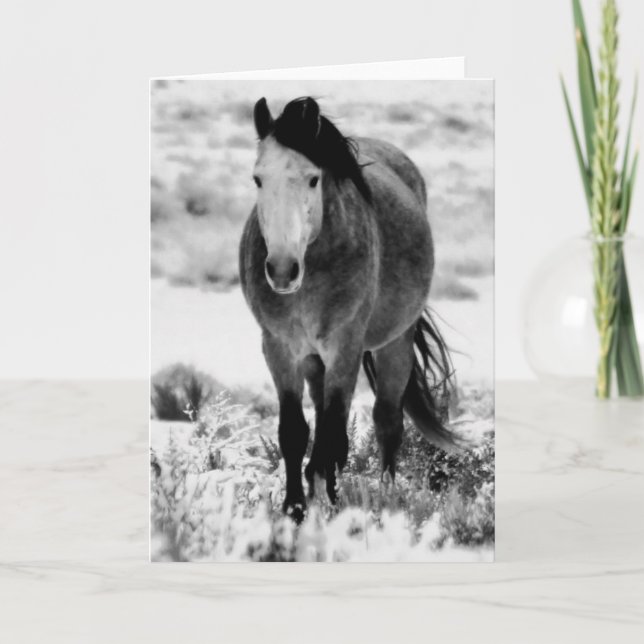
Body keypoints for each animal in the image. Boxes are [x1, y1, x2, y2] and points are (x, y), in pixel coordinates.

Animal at [239, 96, 459, 522]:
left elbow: (336, 435)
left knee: (387, 422)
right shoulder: (279, 348)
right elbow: (295, 432)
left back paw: (386, 496)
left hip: (394, 345)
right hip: (314, 361)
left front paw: (334, 504)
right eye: (258, 179)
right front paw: (296, 508)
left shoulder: (346, 348)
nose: (282, 269)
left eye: (313, 179)